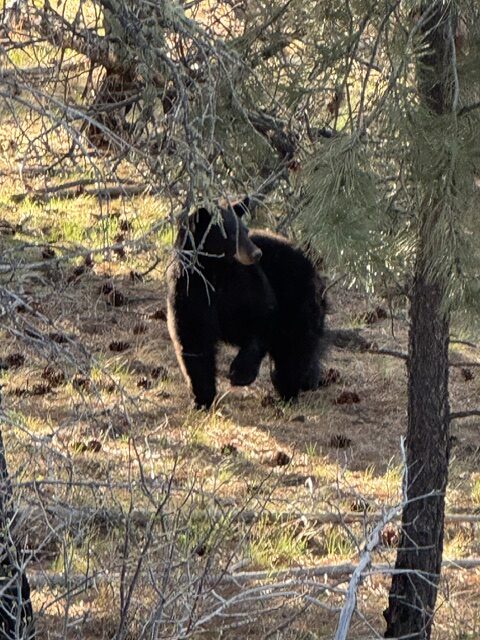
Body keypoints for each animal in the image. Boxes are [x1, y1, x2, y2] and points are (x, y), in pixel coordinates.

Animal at [167, 198, 326, 409]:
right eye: (232, 233)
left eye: (245, 230)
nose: (256, 254)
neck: (216, 271)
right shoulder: (190, 286)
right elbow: (193, 337)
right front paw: (202, 398)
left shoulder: (247, 281)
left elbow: (262, 316)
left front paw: (240, 373)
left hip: (298, 295)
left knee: (295, 346)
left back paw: (290, 389)